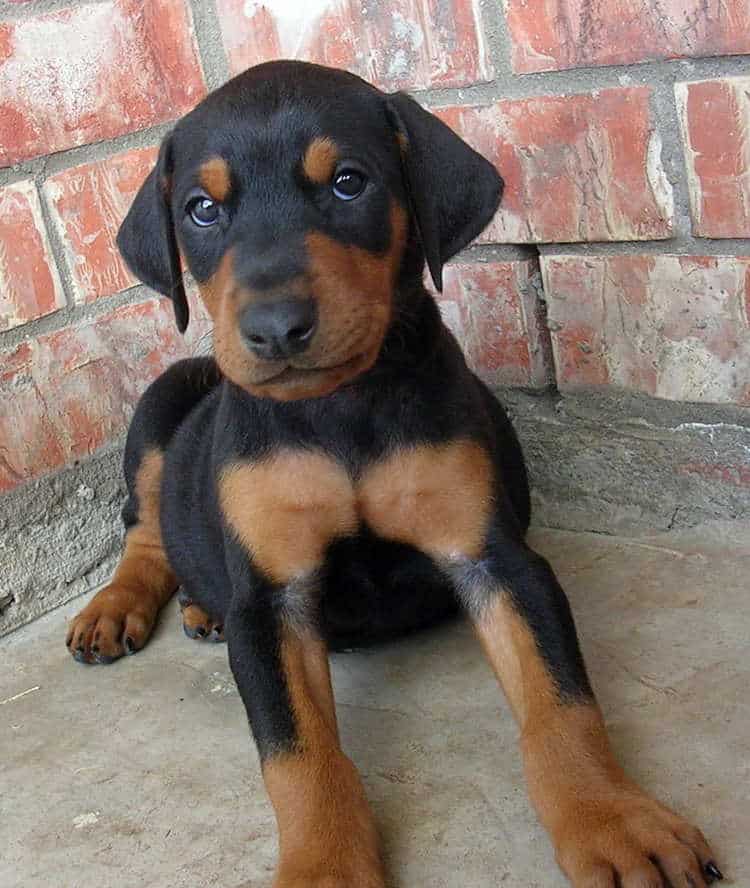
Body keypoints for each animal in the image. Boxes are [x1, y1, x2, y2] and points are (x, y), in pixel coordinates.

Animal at [67, 62, 724, 888]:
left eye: (350, 183)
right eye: (201, 210)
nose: (275, 329)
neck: (342, 407)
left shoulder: (494, 557)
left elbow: (562, 701)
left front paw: (612, 818)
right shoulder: (272, 599)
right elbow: (298, 755)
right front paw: (323, 867)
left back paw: (198, 606)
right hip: (164, 399)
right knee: (145, 525)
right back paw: (122, 608)